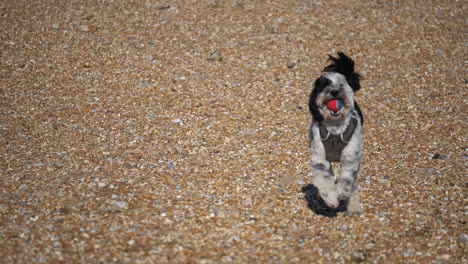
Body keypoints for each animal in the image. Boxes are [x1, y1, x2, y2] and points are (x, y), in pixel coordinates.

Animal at [308, 52, 366, 214]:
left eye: (341, 85)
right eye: (324, 86)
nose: (334, 91)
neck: (335, 130)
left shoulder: (351, 158)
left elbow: (347, 180)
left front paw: (342, 193)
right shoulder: (320, 159)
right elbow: (323, 180)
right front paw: (331, 200)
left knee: (354, 184)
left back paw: (354, 206)